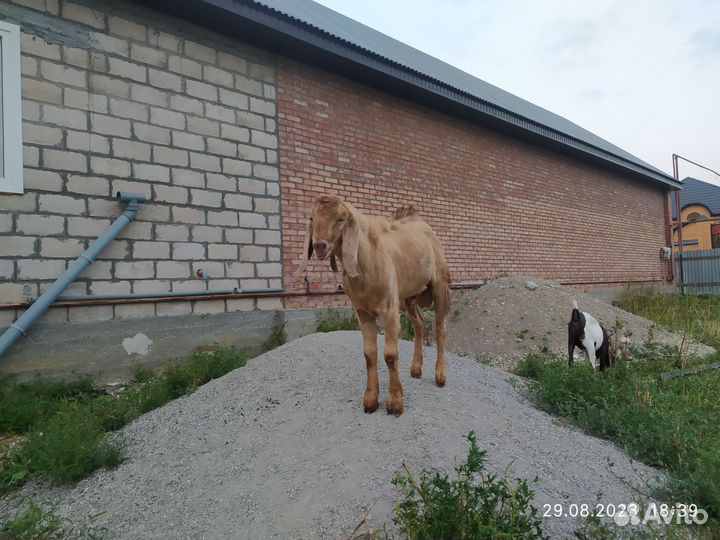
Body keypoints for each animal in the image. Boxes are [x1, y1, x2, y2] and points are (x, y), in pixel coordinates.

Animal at [295, 195, 451, 416]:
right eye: (311, 218)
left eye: (341, 219)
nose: (319, 246)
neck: (367, 261)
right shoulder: (363, 312)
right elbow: (369, 354)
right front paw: (370, 401)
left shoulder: (389, 311)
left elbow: (390, 355)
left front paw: (395, 402)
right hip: (407, 297)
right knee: (419, 323)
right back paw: (416, 368)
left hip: (439, 286)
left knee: (439, 328)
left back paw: (440, 376)